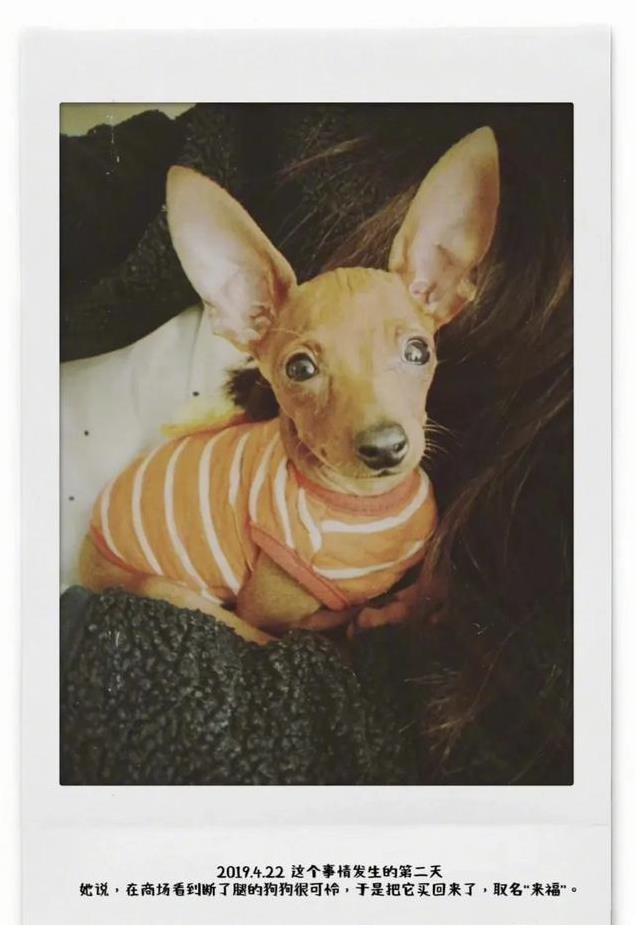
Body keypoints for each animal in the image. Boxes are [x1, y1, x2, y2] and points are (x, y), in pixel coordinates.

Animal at [79, 126, 500, 645]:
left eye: (418, 352)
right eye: (299, 369)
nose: (385, 448)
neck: (364, 505)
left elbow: (428, 581)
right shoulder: (263, 612)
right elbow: (321, 623)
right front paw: (378, 614)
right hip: (171, 591)